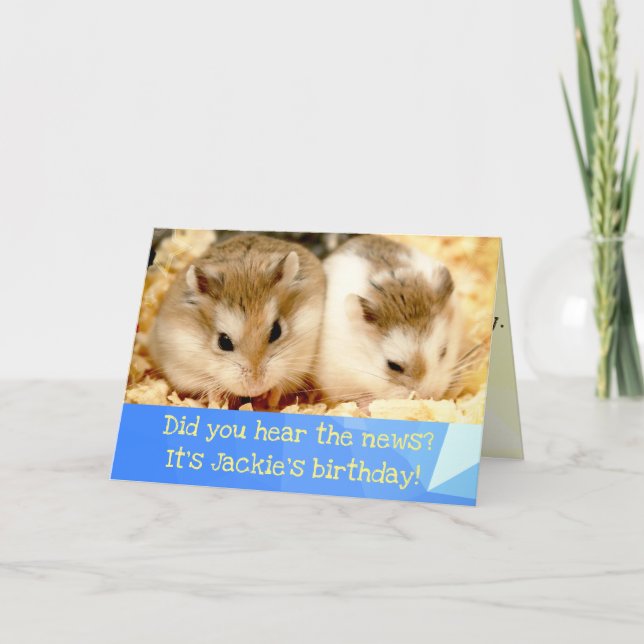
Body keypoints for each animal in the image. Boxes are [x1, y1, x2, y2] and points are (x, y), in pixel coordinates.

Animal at [149, 234, 326, 405]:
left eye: (276, 331)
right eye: (223, 342)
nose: (255, 388)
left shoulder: (301, 362)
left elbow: (283, 383)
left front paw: (269, 399)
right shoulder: (182, 369)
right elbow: (206, 384)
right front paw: (218, 398)